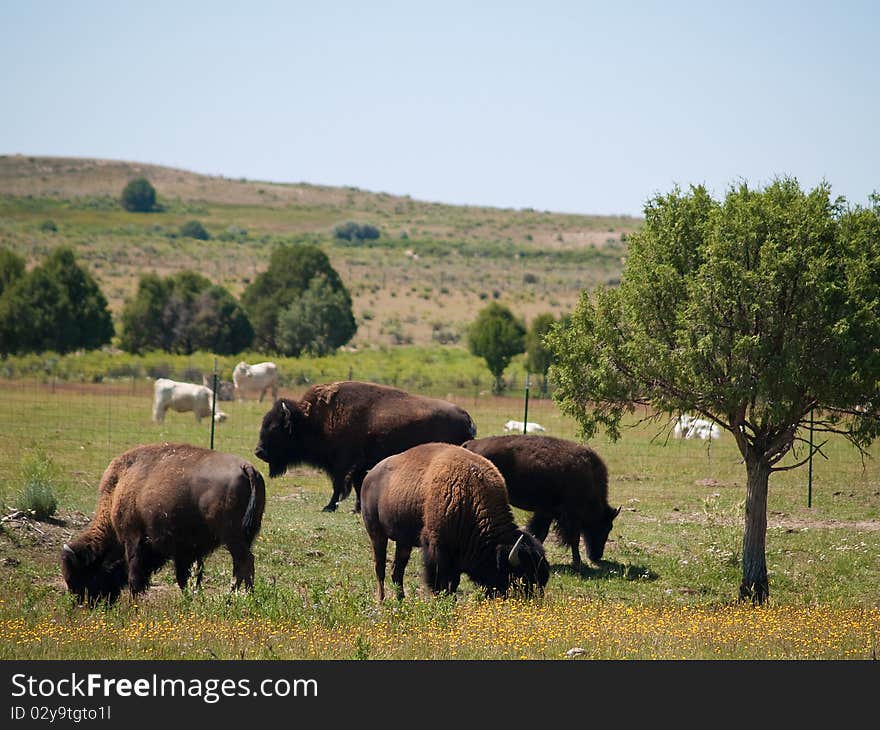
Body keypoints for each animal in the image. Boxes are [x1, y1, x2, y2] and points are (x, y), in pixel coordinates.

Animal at [60, 438, 264, 604]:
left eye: (80, 576)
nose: (83, 604)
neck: (118, 489)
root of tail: (247, 467)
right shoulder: (188, 551)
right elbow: (187, 577)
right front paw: (191, 598)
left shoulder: (133, 539)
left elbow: (135, 575)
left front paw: (133, 603)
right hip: (244, 536)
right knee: (240, 564)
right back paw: (236, 596)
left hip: (231, 536)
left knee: (245, 561)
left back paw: (240, 596)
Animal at [251, 382, 478, 512]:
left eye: (275, 427)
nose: (259, 451)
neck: (313, 419)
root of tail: (466, 416)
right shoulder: (358, 466)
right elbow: (358, 485)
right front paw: (357, 508)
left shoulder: (343, 464)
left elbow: (339, 486)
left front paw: (329, 507)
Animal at [360, 440, 548, 600]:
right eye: (520, 577)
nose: (533, 600)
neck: (471, 495)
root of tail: (369, 476)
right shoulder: (436, 547)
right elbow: (441, 580)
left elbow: (453, 581)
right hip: (376, 533)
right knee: (380, 568)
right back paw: (382, 601)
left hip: (403, 542)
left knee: (397, 570)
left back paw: (401, 600)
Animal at [460, 436, 620, 564]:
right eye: (606, 527)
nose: (597, 556)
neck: (590, 478)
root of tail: (468, 445)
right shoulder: (570, 516)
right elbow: (573, 539)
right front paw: (578, 563)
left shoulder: (546, 512)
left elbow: (540, 534)